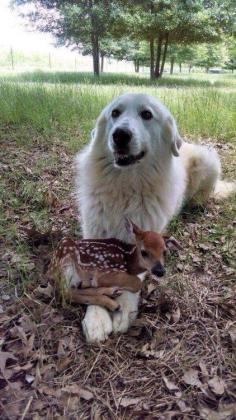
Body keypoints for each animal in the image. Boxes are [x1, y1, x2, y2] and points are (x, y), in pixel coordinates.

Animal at [75, 92, 234, 342]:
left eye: (147, 115)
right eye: (115, 113)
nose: (120, 135)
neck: (126, 185)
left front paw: (123, 308)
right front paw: (96, 317)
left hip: (207, 159)